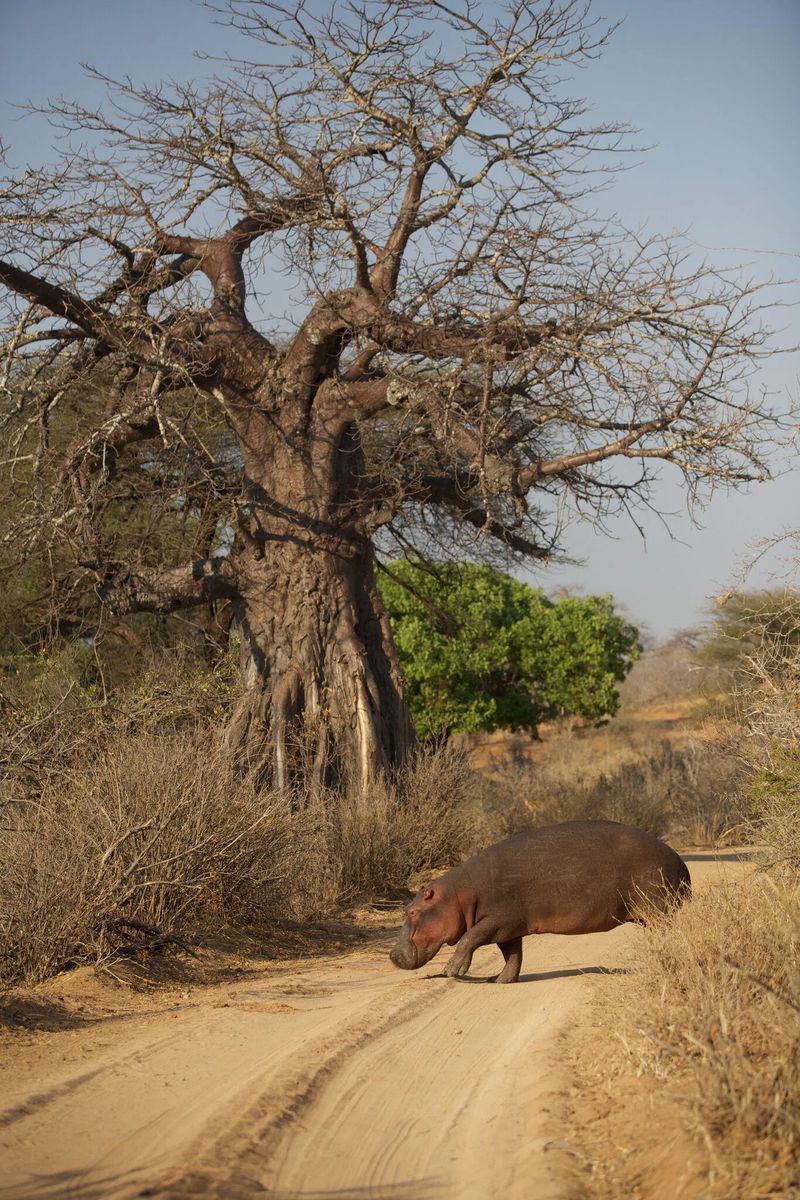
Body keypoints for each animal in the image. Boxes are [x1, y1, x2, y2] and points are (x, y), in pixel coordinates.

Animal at [389, 820, 690, 983]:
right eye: (405, 910)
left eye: (413, 912)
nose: (392, 955)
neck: (460, 894)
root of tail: (680, 862)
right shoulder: (509, 929)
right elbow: (512, 955)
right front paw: (497, 980)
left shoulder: (498, 919)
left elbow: (470, 937)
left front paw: (453, 970)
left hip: (658, 910)